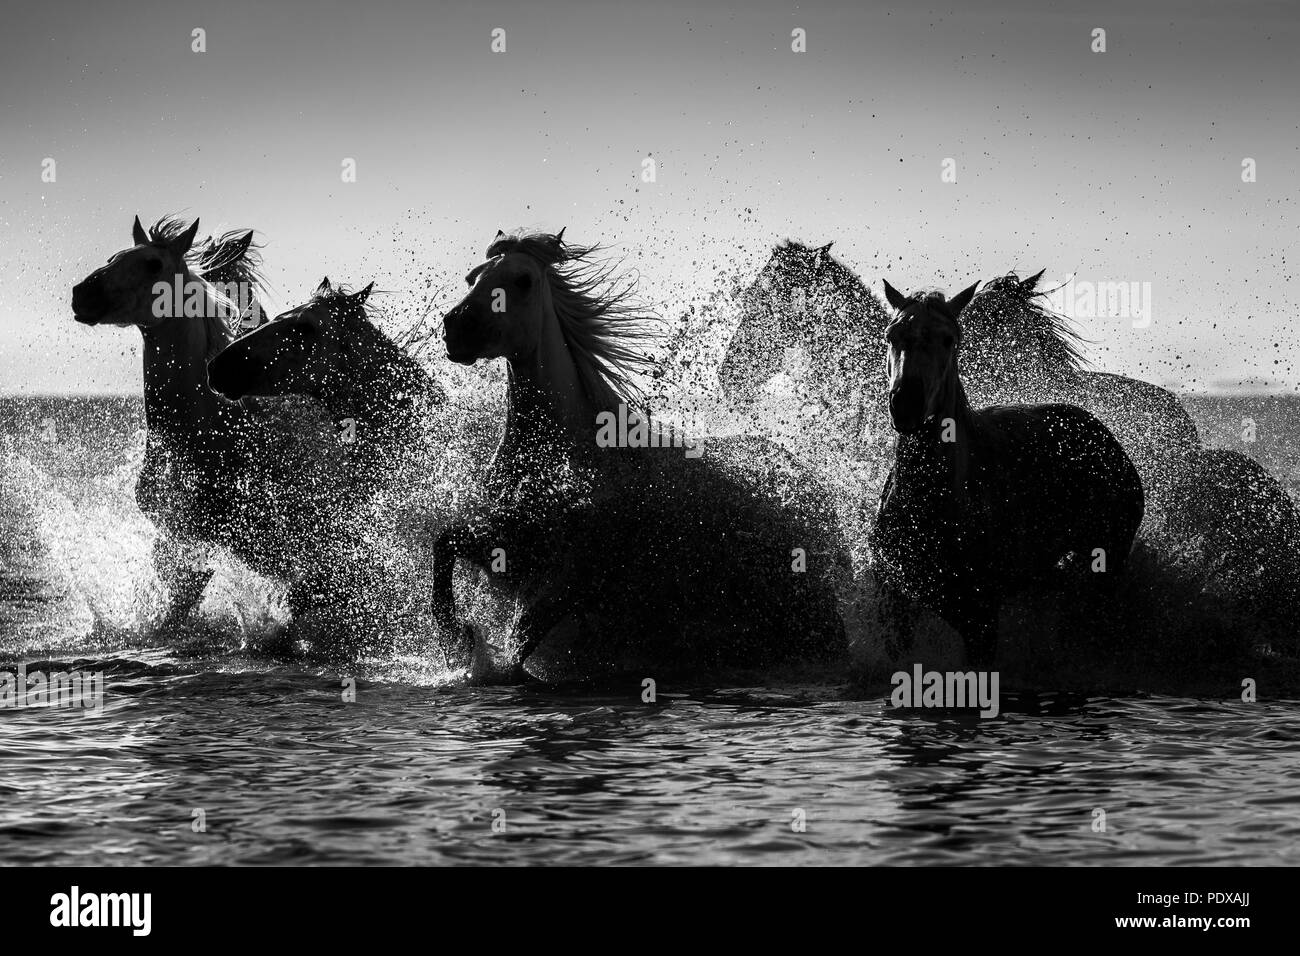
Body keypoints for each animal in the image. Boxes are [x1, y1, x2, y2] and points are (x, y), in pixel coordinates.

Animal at [433, 229, 849, 682]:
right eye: (472, 276)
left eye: (522, 280)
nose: (456, 328)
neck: (563, 459)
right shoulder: (511, 547)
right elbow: (444, 544)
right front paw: (456, 636)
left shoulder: (573, 576)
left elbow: (520, 638)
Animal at [872, 281, 1145, 665]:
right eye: (891, 335)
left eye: (949, 339)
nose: (906, 403)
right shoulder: (895, 608)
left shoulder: (981, 620)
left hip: (1107, 565)